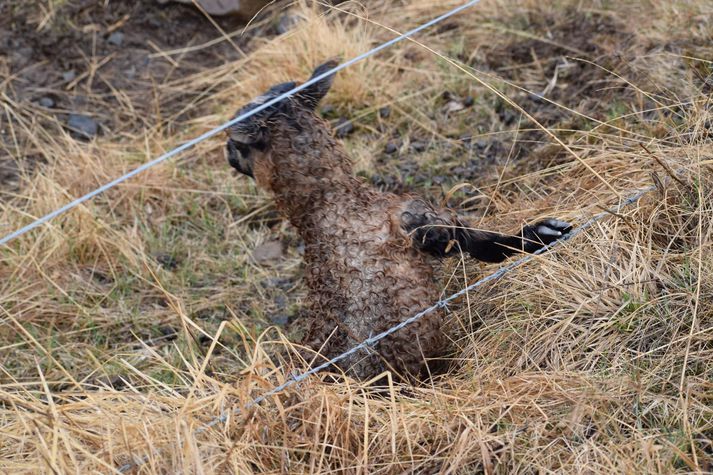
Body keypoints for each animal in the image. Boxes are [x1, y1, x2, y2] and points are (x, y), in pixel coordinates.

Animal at [225, 59, 572, 382]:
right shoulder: (422, 219)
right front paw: (543, 234)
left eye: (236, 144)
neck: (332, 204)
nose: (227, 153)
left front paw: (544, 233)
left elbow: (485, 244)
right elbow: (483, 244)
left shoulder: (416, 219)